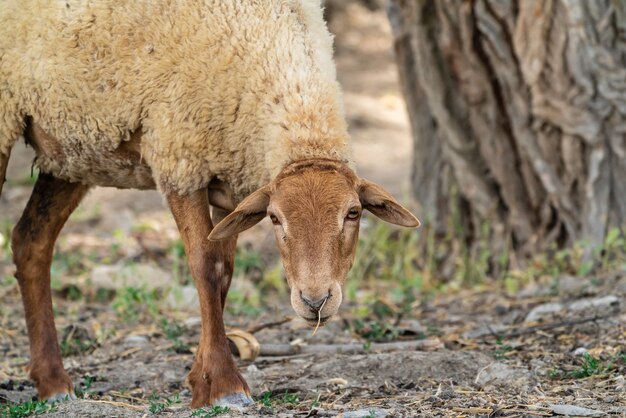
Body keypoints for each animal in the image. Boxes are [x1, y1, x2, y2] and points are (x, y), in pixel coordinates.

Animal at [1, 0, 420, 408]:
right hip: (9, 118)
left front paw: (199, 381)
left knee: (30, 241)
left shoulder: (234, 182)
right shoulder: (179, 158)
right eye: (275, 218)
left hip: (71, 151)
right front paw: (223, 384)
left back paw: (53, 382)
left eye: (353, 213)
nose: (315, 302)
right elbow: (206, 269)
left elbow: (225, 275)